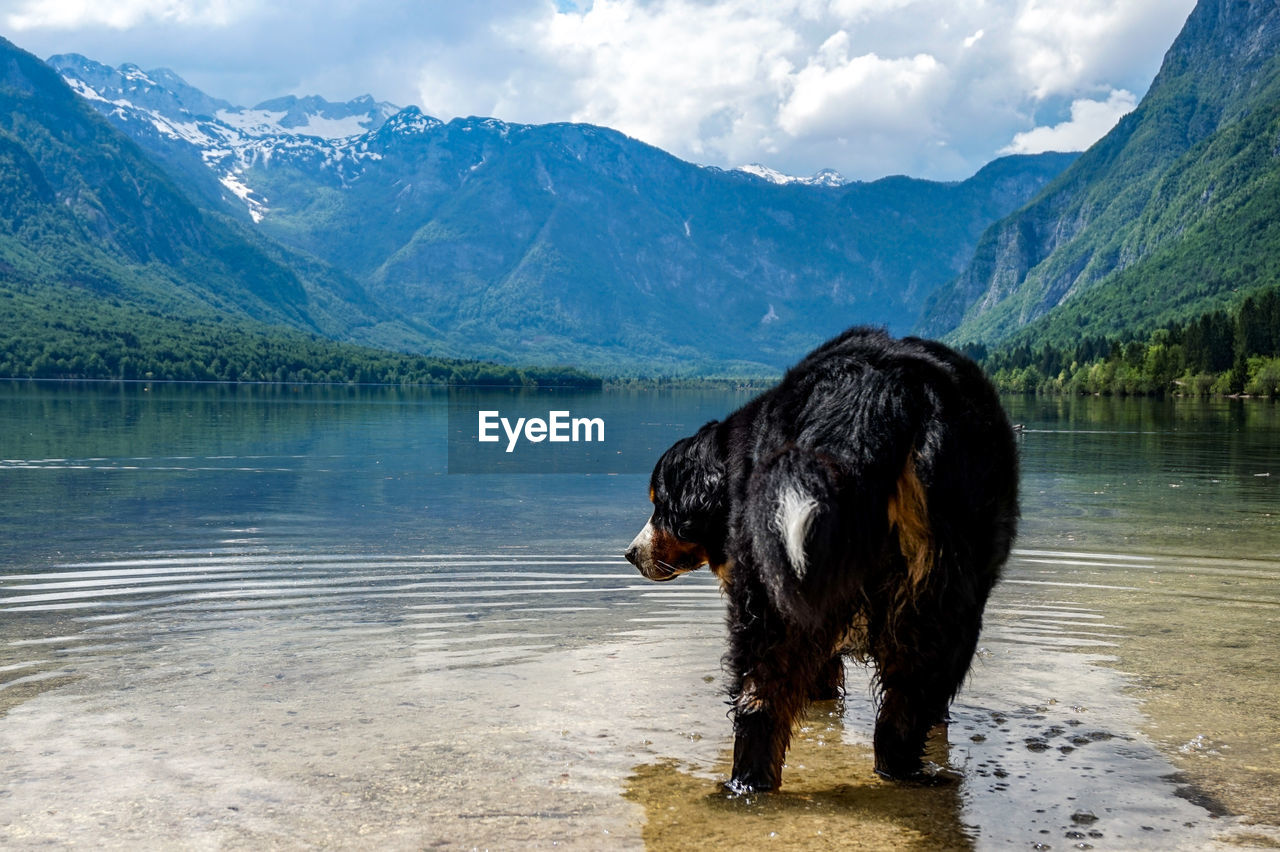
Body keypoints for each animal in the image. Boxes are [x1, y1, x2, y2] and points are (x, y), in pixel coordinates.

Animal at [622, 324, 1018, 788]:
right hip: (945, 594)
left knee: (760, 700)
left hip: (772, 585)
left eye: (661, 504)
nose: (630, 554)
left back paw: (744, 785)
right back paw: (903, 775)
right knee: (902, 713)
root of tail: (876, 389)